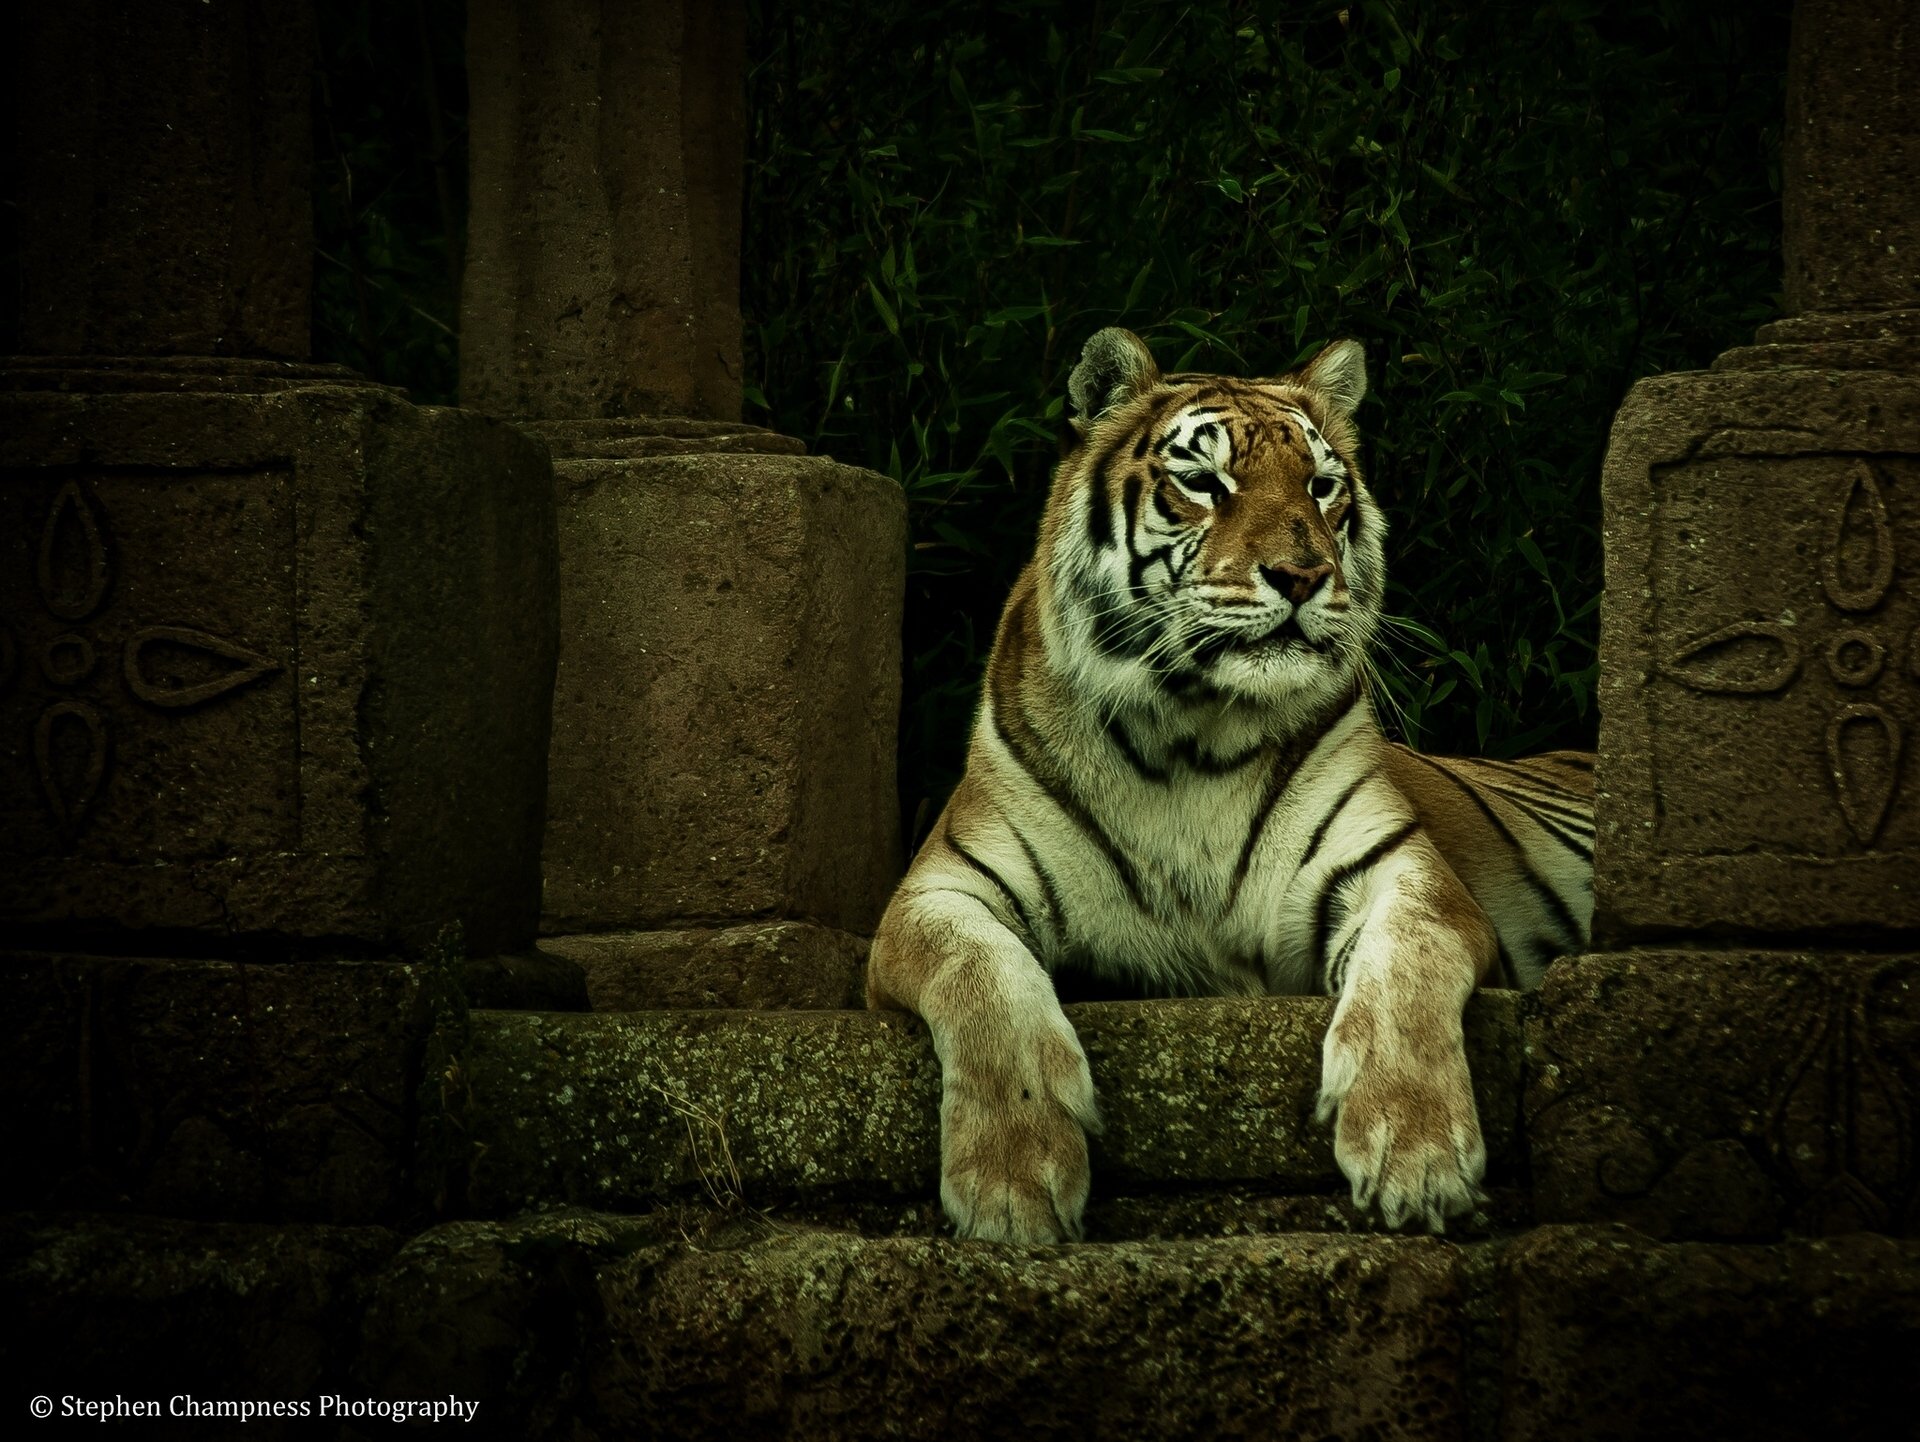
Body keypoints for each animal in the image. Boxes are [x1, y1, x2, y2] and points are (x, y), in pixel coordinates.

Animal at [866, 328, 1593, 1242]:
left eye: (1321, 487)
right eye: (1205, 483)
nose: (1302, 574)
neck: (1193, 733)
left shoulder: (1402, 871)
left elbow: (1408, 966)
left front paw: (1416, 1154)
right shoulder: (936, 892)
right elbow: (981, 978)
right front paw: (1011, 1182)